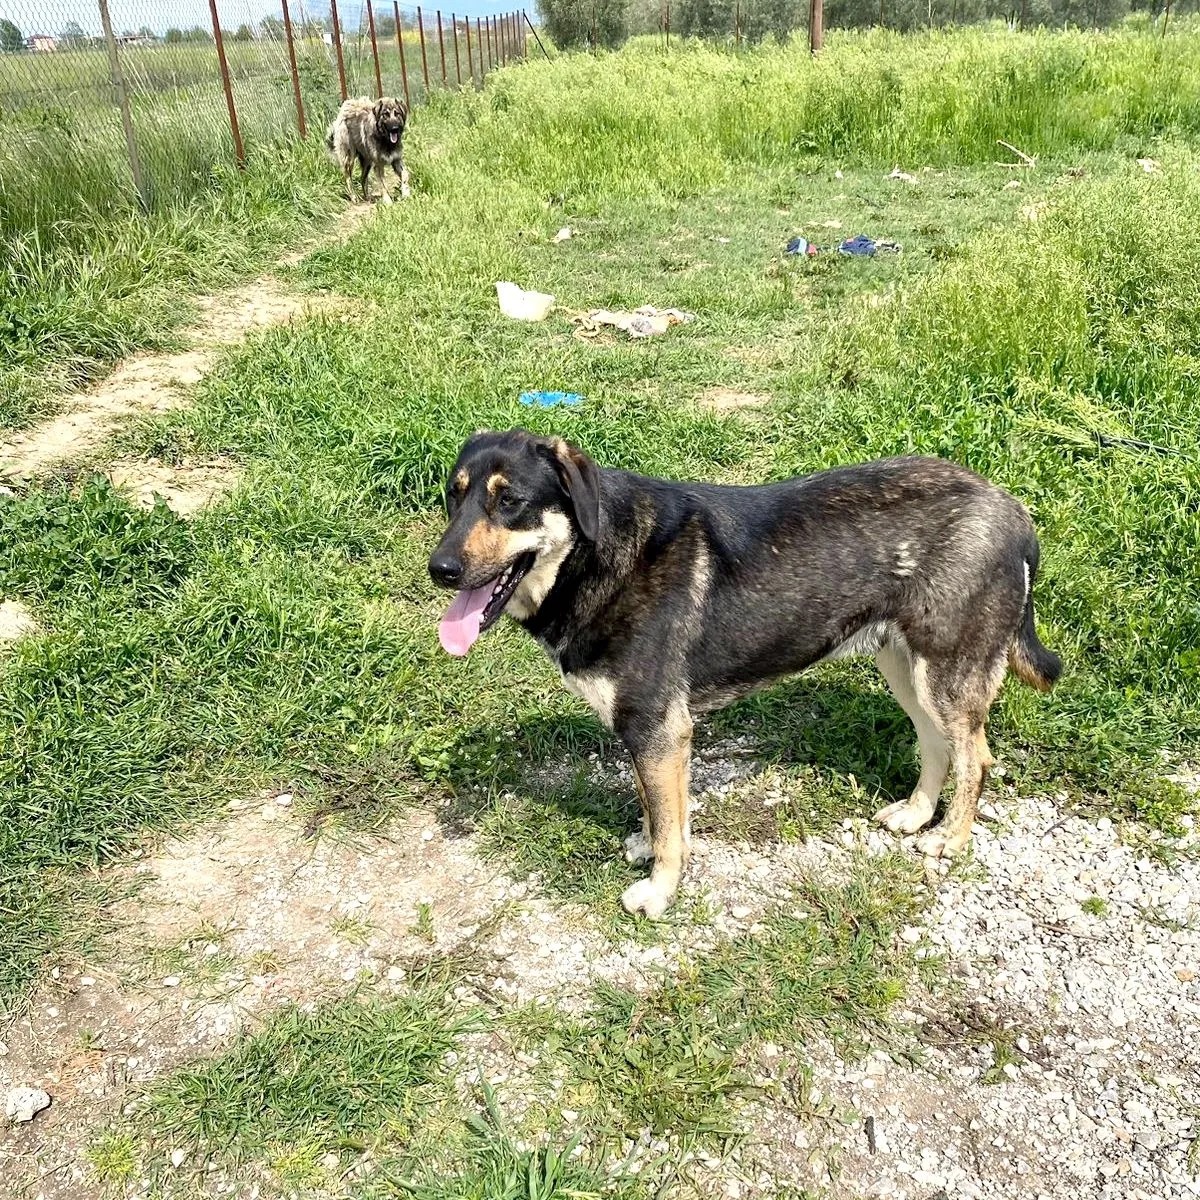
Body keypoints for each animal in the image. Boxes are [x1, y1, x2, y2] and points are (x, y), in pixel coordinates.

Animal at [429, 430, 1061, 919]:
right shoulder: (647, 733)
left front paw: (660, 891)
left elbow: (669, 823)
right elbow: (661, 810)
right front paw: (649, 847)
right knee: (936, 744)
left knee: (976, 758)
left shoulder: (659, 729)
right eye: (453, 498)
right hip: (904, 667)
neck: (595, 555)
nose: (440, 569)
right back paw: (916, 814)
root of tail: (1013, 511)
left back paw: (950, 839)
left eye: (510, 501)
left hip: (944, 674)